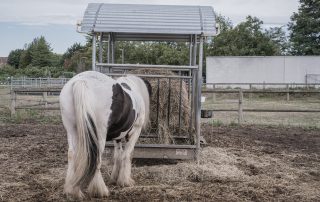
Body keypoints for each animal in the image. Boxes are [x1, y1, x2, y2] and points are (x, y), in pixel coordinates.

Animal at [59, 71, 151, 199]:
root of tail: (82, 81)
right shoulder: (134, 132)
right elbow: (127, 154)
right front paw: (125, 181)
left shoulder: (117, 137)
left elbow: (118, 155)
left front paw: (114, 178)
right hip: (99, 134)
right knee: (97, 158)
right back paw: (100, 191)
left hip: (72, 131)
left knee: (71, 155)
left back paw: (72, 190)